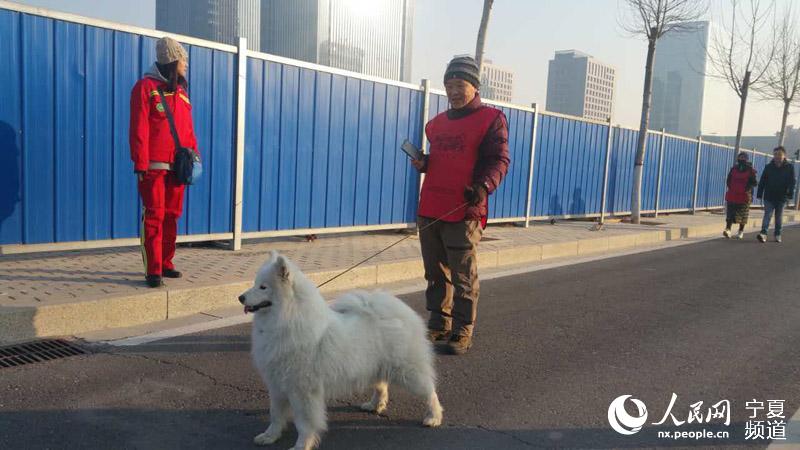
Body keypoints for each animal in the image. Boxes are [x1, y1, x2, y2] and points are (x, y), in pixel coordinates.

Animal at [241, 251, 446, 448]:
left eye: (263, 287)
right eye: (255, 284)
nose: (240, 297)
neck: (286, 320)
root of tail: (398, 313)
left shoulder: (303, 390)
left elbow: (304, 423)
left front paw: (301, 445)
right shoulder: (277, 384)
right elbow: (275, 415)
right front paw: (269, 436)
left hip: (408, 373)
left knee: (430, 391)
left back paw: (434, 417)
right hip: (375, 366)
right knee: (381, 385)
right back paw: (374, 405)